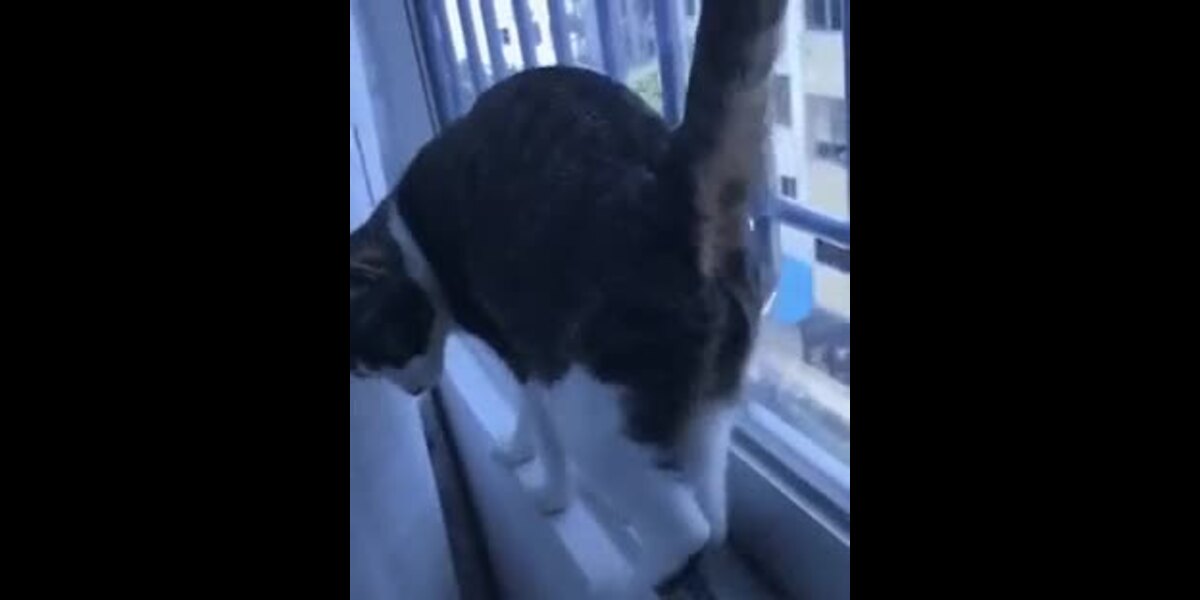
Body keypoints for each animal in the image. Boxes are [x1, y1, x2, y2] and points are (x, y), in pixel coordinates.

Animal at [349, 0, 788, 594]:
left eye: (392, 342)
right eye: (365, 371)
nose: (417, 391)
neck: (406, 234)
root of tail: (669, 187)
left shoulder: (519, 347)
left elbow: (539, 426)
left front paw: (543, 484)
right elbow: (528, 413)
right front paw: (520, 454)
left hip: (590, 399)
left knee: (684, 529)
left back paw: (622, 584)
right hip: (708, 400)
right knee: (712, 512)